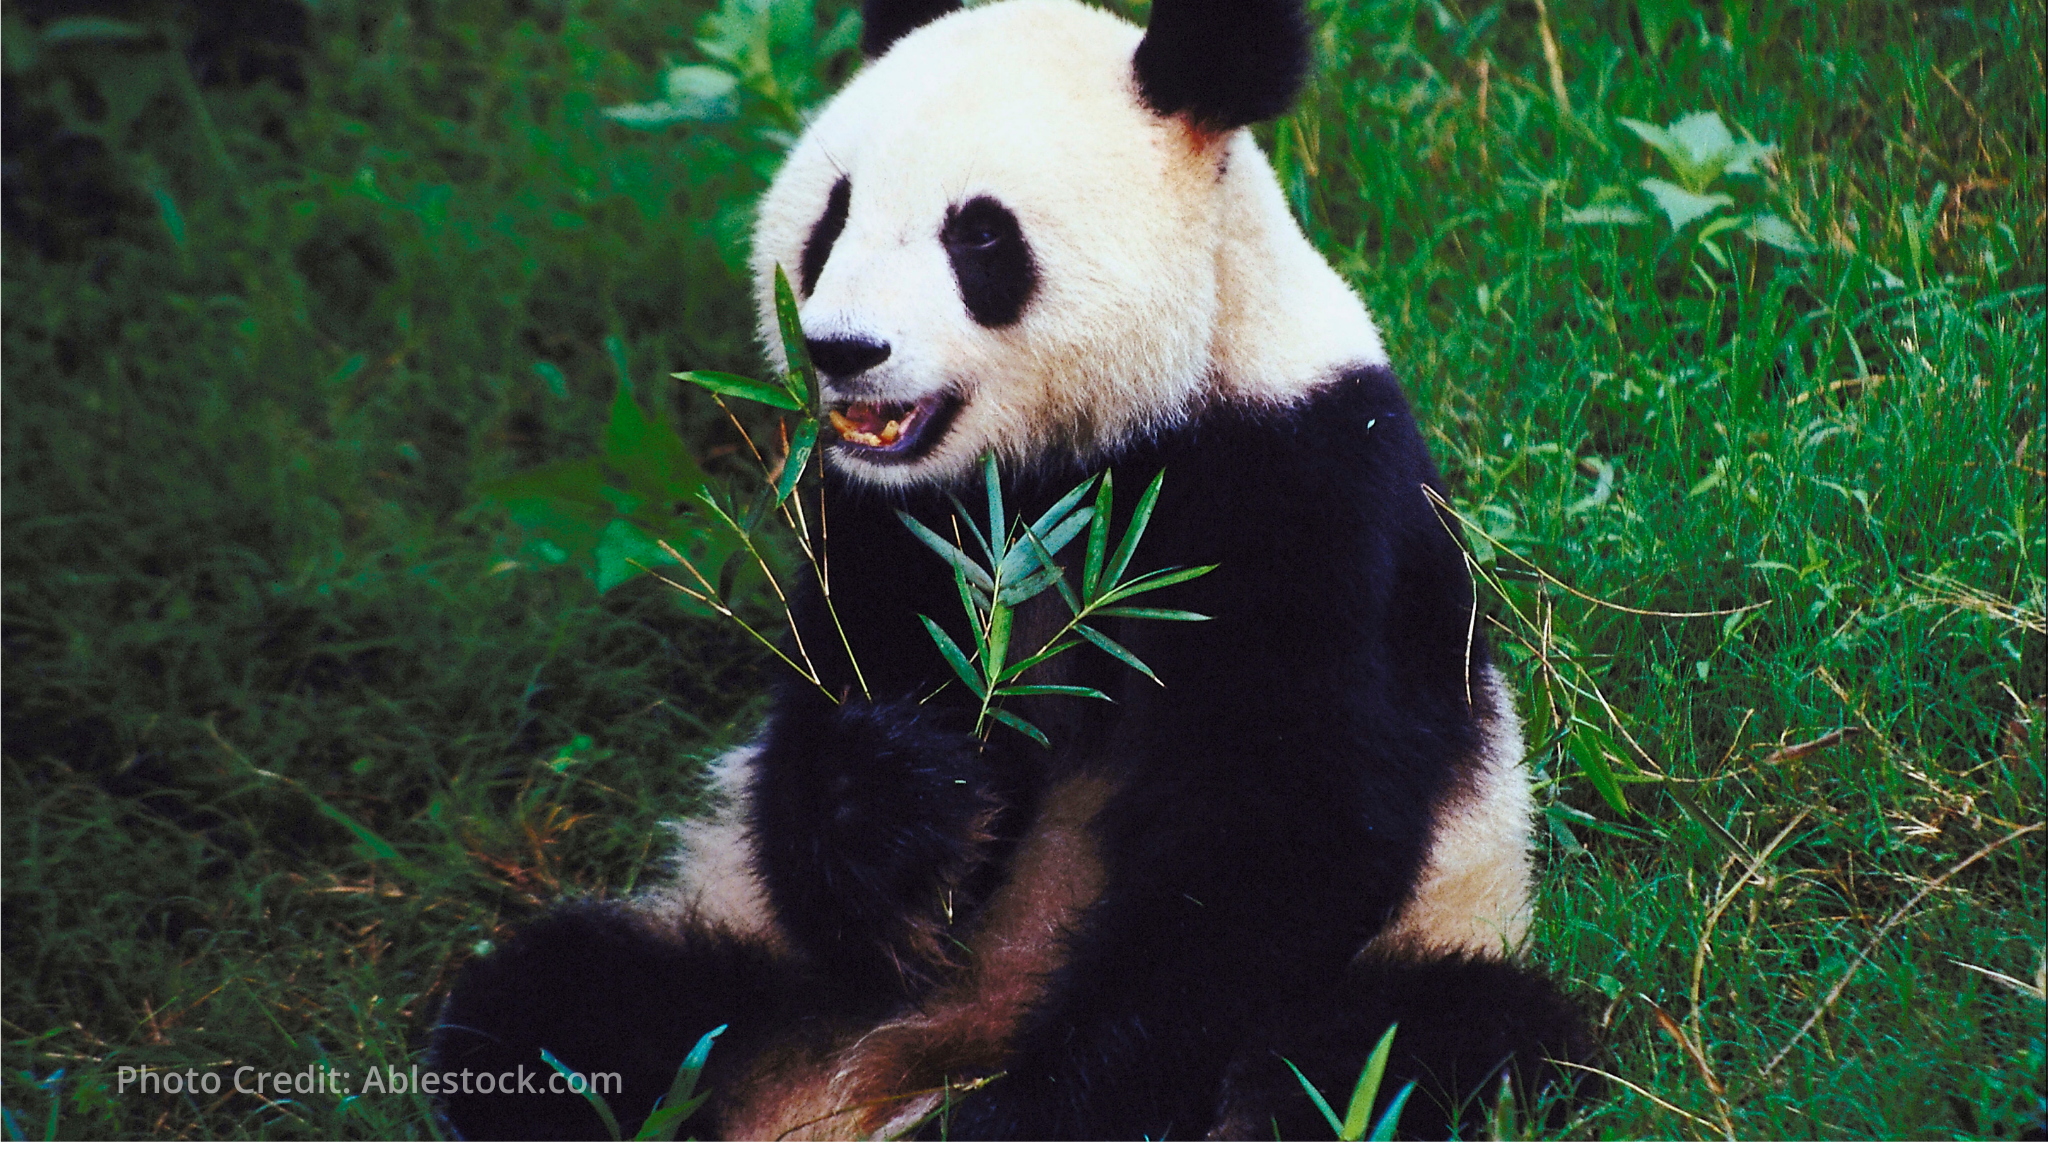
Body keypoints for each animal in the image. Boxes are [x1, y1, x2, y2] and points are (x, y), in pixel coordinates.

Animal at [431, 0, 1592, 1139]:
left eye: (979, 234)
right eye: (833, 215)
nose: (841, 350)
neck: (1062, 465)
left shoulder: (1312, 489)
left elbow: (1286, 833)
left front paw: (1053, 1103)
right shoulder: (885, 522)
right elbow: (826, 735)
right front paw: (898, 800)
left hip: (1449, 927)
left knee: (1398, 1050)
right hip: (759, 972)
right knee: (553, 1005)